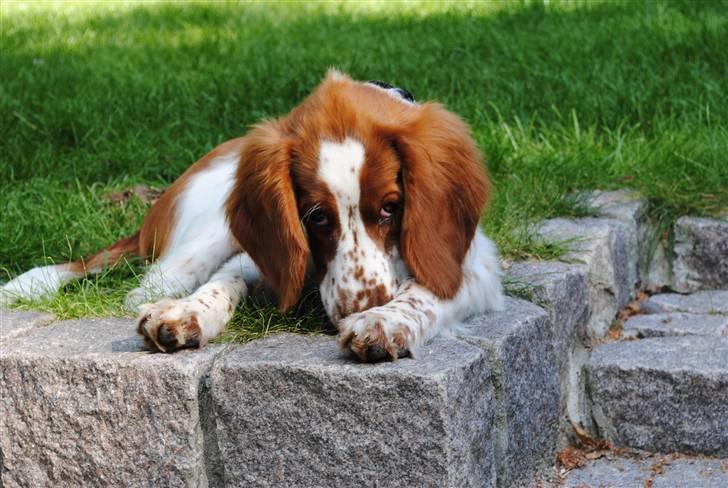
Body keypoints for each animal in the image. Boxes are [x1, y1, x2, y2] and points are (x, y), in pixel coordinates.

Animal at [0, 70, 504, 360]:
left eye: (391, 207)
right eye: (315, 217)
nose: (354, 310)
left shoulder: (471, 264)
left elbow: (424, 291)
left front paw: (384, 321)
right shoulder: (268, 253)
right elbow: (224, 281)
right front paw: (187, 314)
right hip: (195, 245)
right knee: (142, 285)